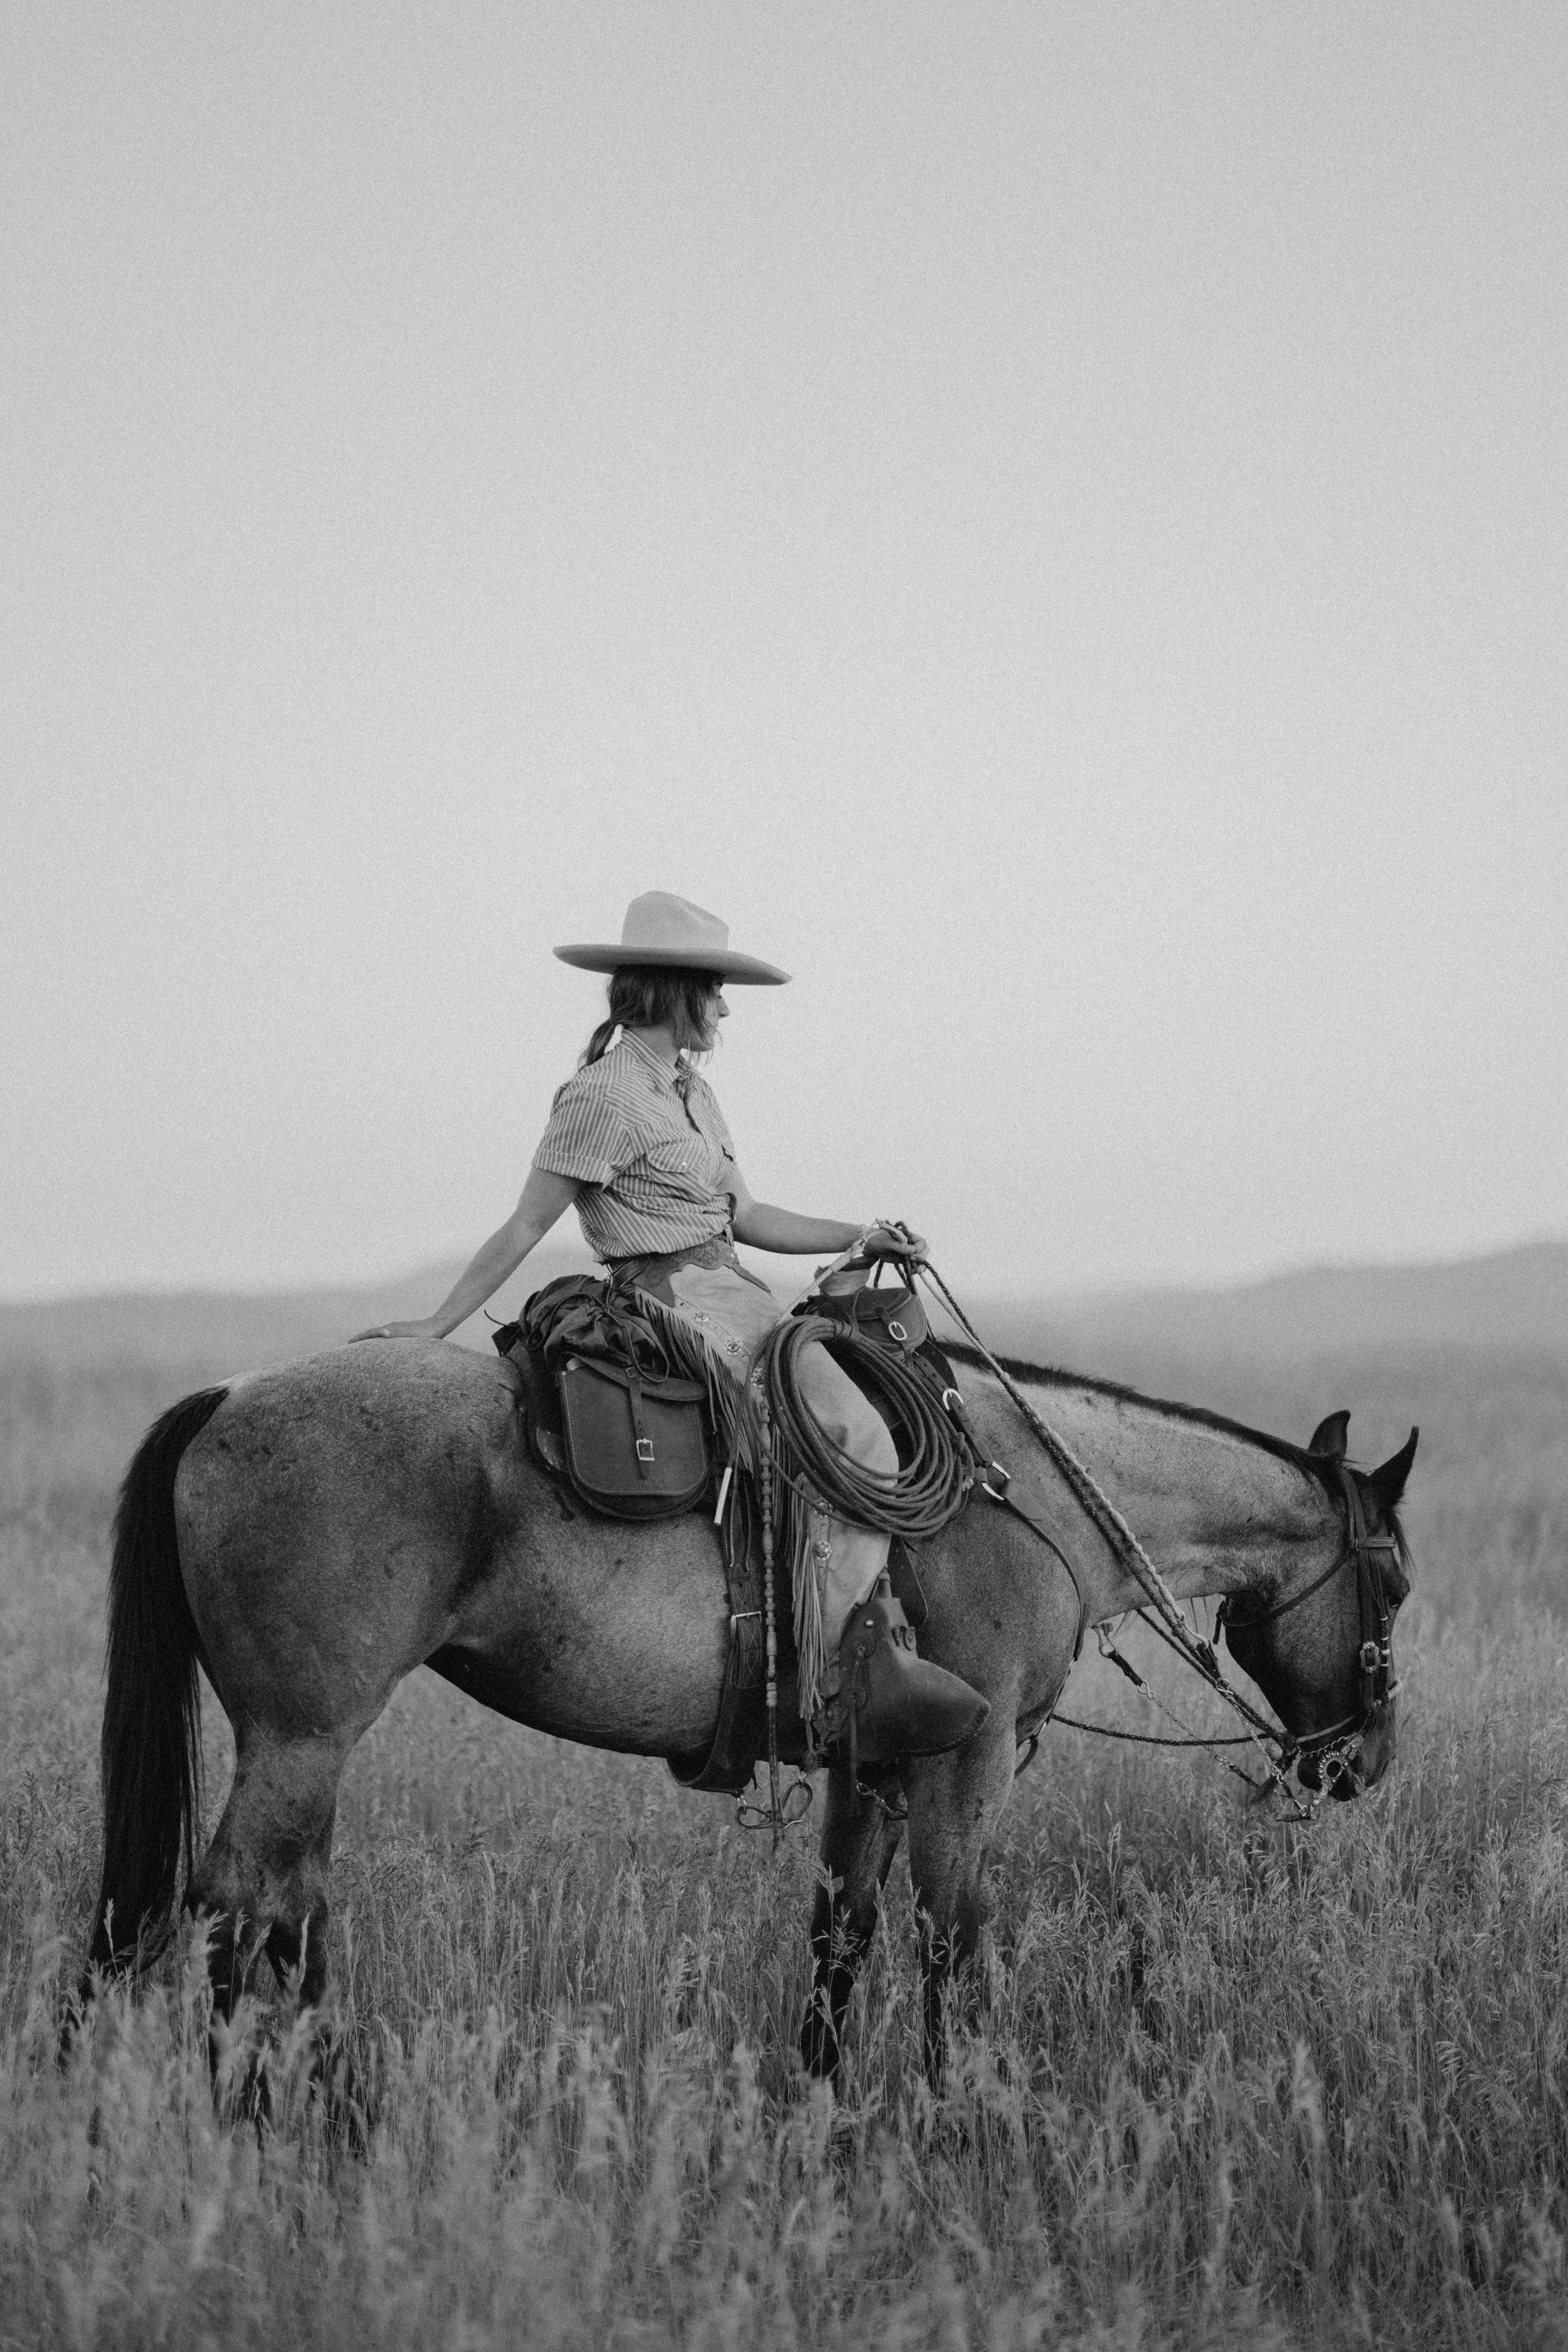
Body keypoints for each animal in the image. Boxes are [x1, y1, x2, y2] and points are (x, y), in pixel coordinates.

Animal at [81, 1334, 1416, 2081]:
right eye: (1395, 1582)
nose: (1362, 1765)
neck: (1024, 1500)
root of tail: (227, 1398)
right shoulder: (969, 1763)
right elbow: (952, 1940)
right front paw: (963, 2117)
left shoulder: (872, 1770)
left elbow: (844, 1935)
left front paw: (814, 2111)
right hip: (300, 1738)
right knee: (231, 1912)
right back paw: (250, 2123)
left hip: (301, 1746)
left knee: (290, 1915)